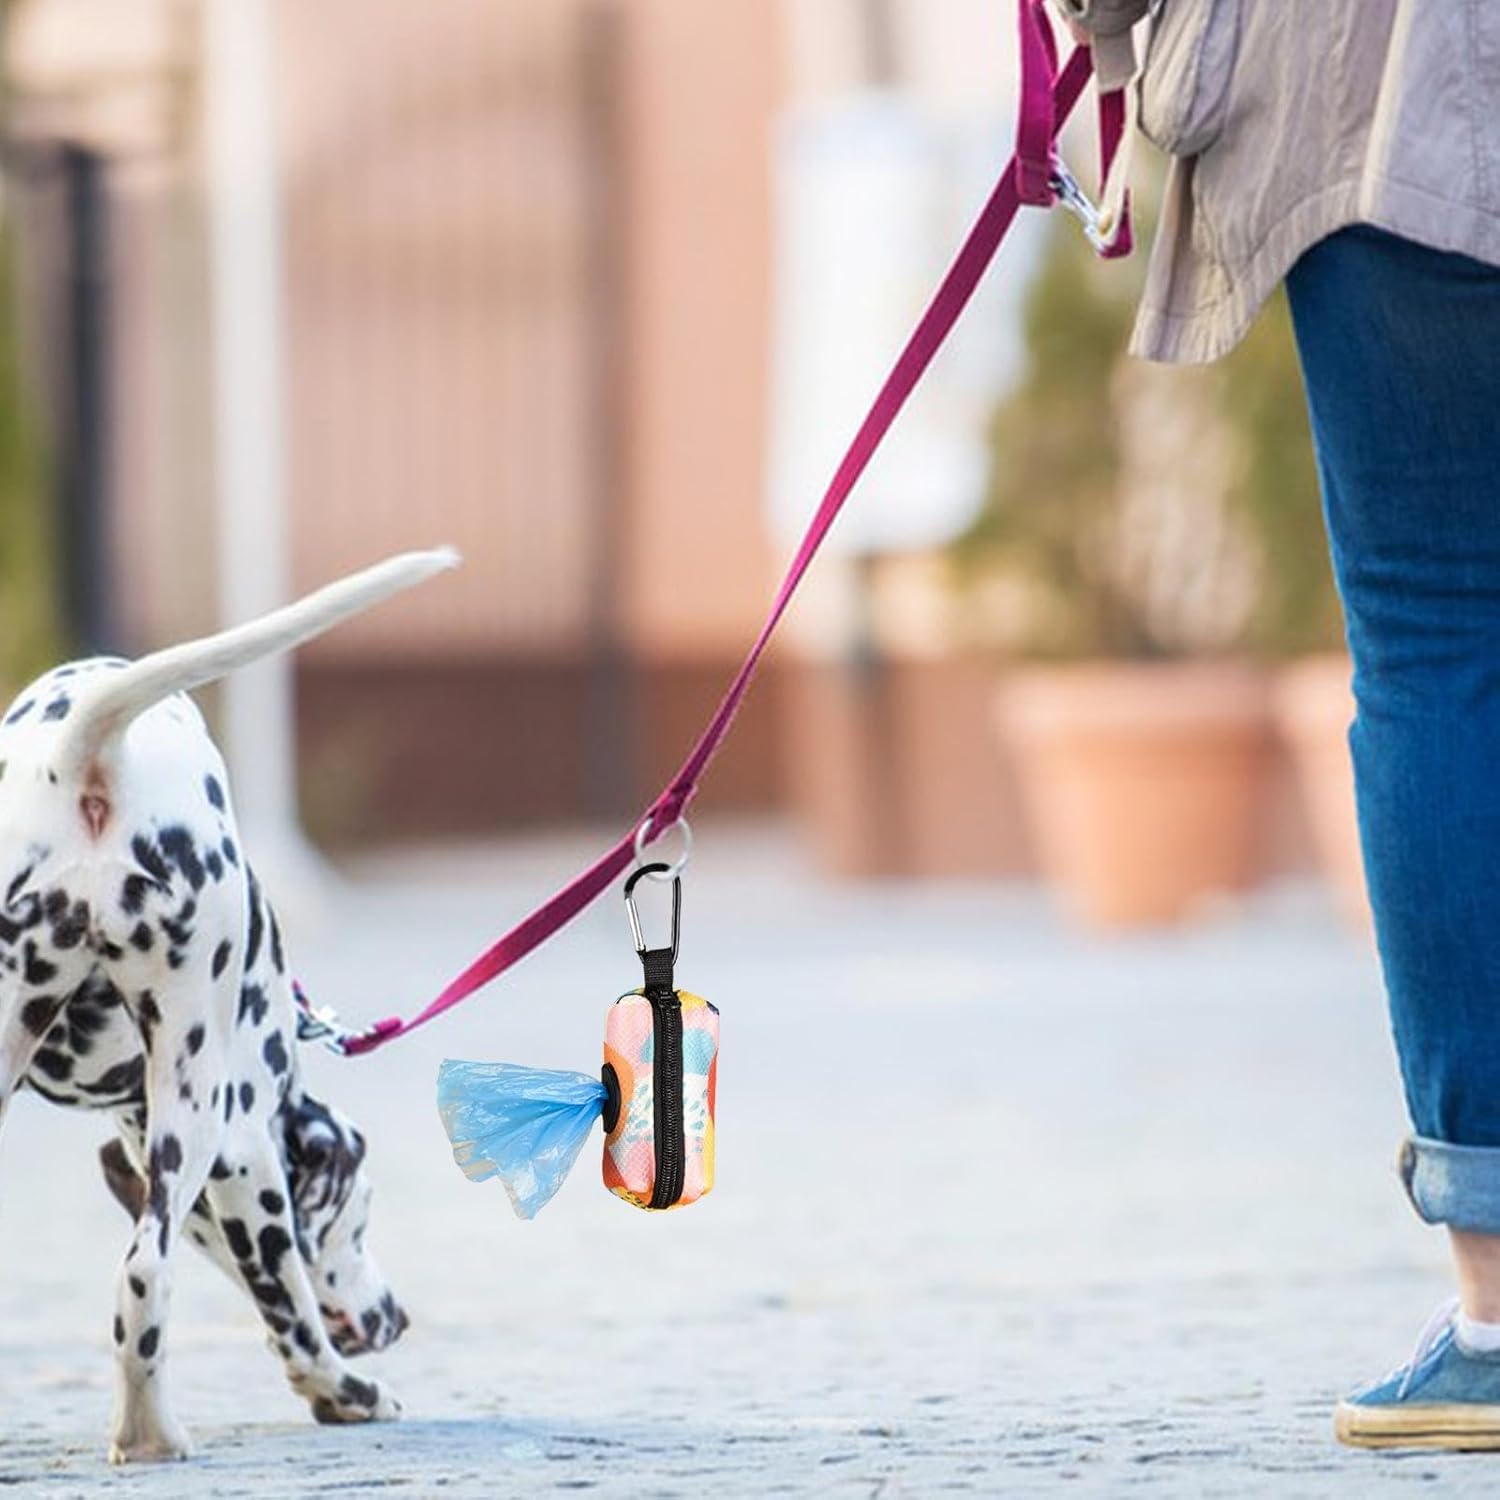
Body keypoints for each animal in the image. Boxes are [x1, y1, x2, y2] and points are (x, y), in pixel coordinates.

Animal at [0, 546, 459, 1458]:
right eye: (360, 1212)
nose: (397, 1318)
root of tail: (85, 756)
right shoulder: (246, 1150)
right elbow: (291, 1316)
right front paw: (346, 1396)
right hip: (198, 1099)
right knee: (143, 1276)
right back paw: (151, 1434)